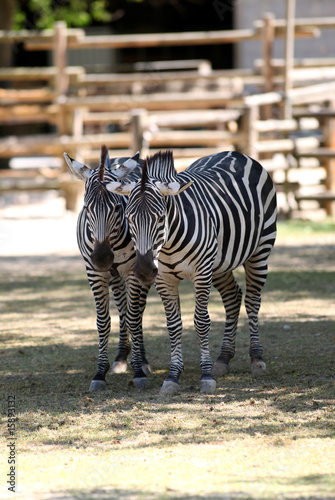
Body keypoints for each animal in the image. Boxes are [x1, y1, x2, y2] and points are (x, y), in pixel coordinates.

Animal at [63, 145, 152, 390]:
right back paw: (121, 357)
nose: (102, 258)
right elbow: (103, 321)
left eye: (116, 206)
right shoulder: (94, 272)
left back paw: (142, 360)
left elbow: (134, 317)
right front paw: (99, 373)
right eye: (86, 207)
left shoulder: (132, 271)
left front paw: (139, 370)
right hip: (113, 276)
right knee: (122, 308)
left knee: (137, 311)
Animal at [107, 150, 278, 392]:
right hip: (220, 265)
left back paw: (256, 358)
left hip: (260, 251)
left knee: (253, 301)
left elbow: (202, 322)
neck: (169, 244)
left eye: (160, 218)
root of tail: (235, 153)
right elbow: (173, 325)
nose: (144, 270)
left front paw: (206, 375)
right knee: (233, 297)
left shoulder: (201, 273)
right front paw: (173, 376)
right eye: (129, 218)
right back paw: (223, 358)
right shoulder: (164, 279)